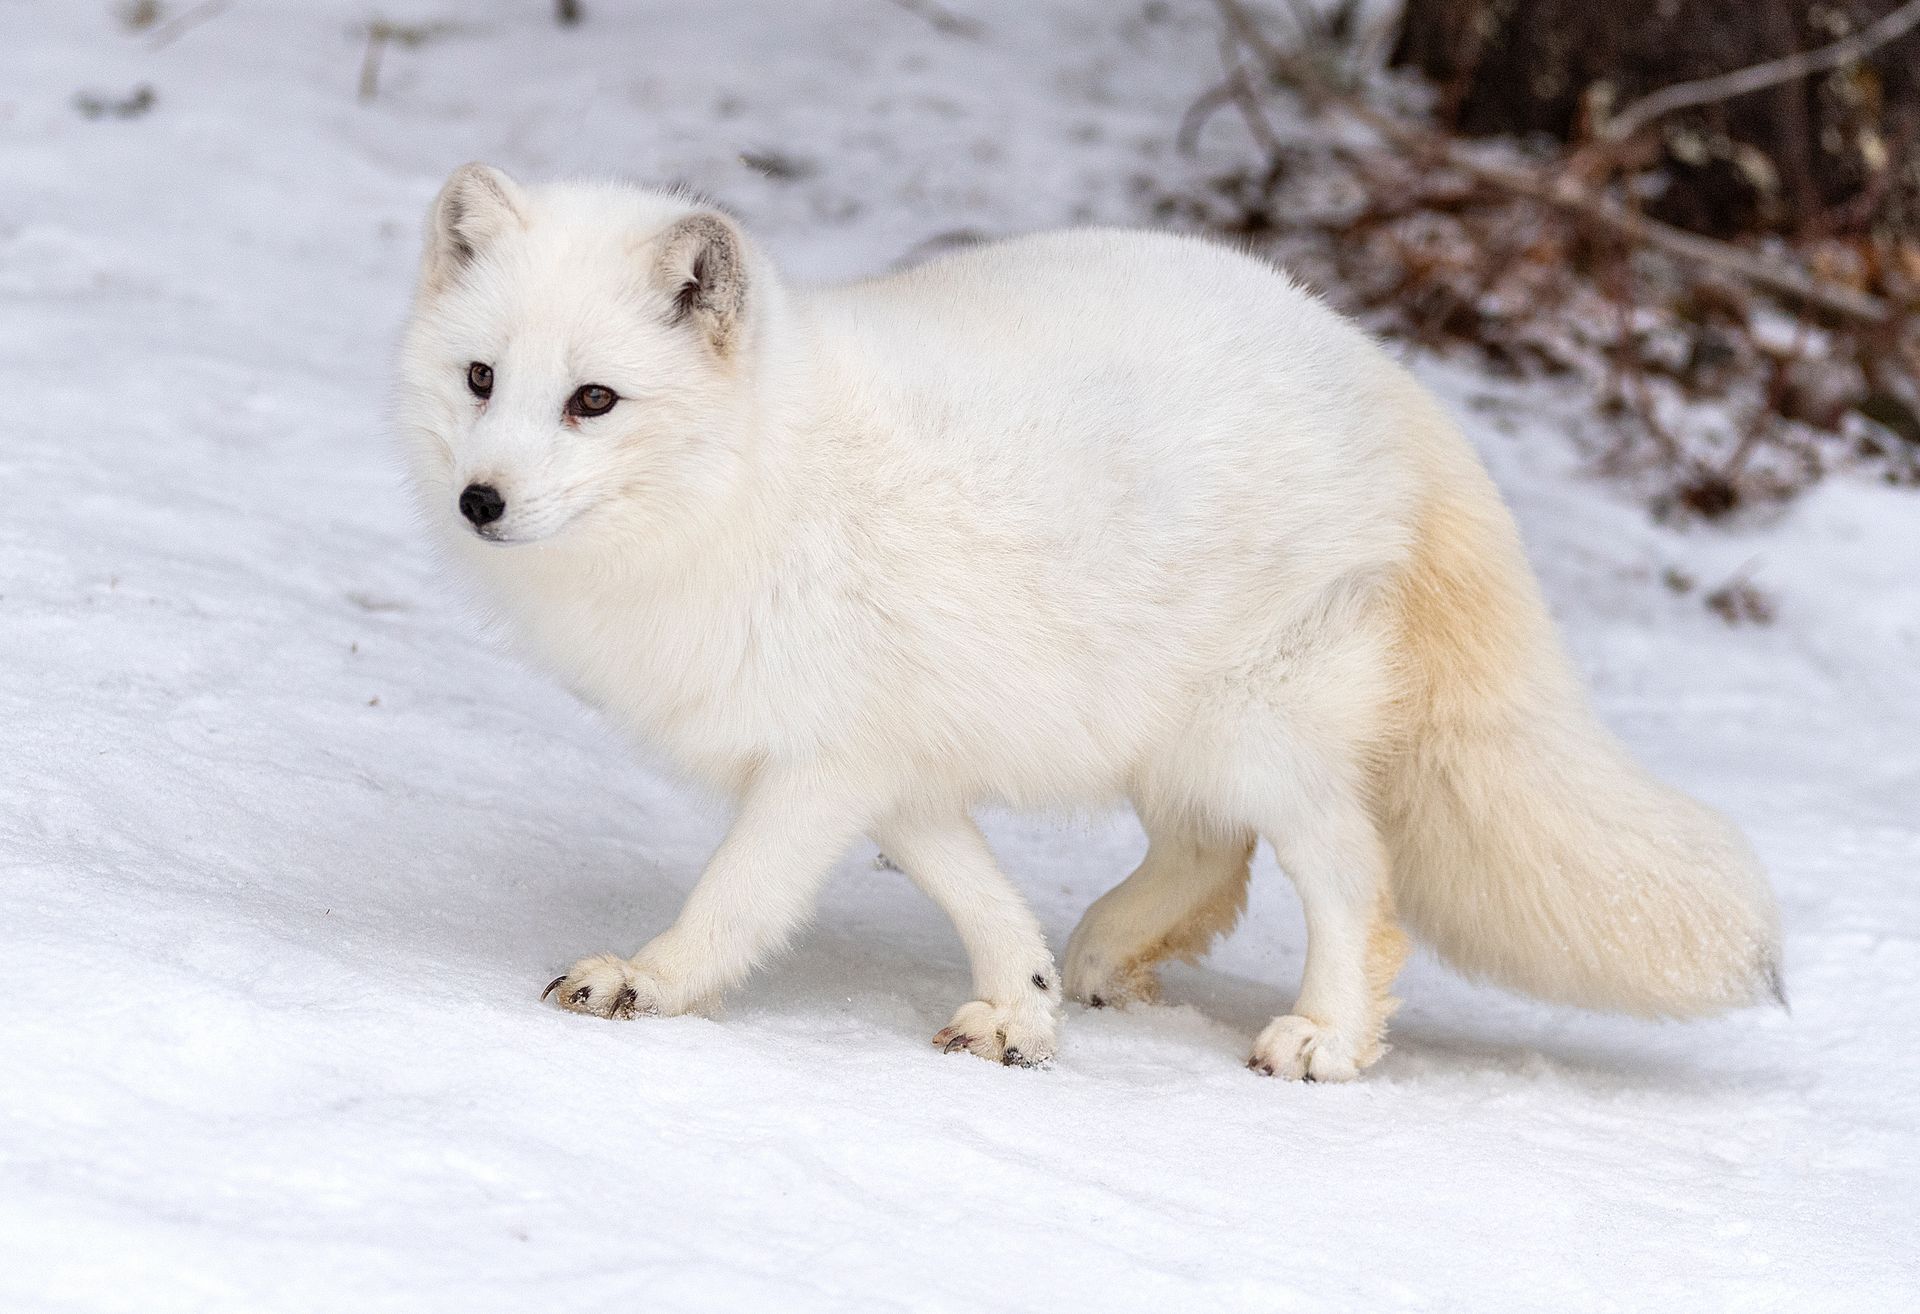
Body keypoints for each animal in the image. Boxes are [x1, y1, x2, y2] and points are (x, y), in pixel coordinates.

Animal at [393, 164, 1781, 1083]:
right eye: (481, 379)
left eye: (594, 400)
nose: (480, 502)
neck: (750, 483)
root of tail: (1388, 377)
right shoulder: (890, 763)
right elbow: (976, 892)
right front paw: (1021, 1006)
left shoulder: (821, 763)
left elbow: (734, 901)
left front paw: (650, 982)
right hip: (1163, 725)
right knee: (1211, 856)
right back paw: (1111, 955)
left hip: (1258, 728)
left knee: (1351, 874)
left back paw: (1327, 1035)